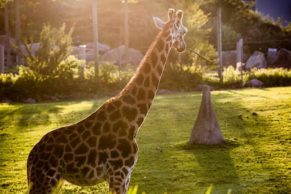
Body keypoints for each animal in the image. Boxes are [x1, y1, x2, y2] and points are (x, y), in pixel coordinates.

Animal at [26, 8, 187, 193]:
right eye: (184, 32)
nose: (183, 47)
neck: (134, 119)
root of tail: (30, 159)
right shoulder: (119, 173)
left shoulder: (125, 176)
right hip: (45, 182)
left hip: (55, 182)